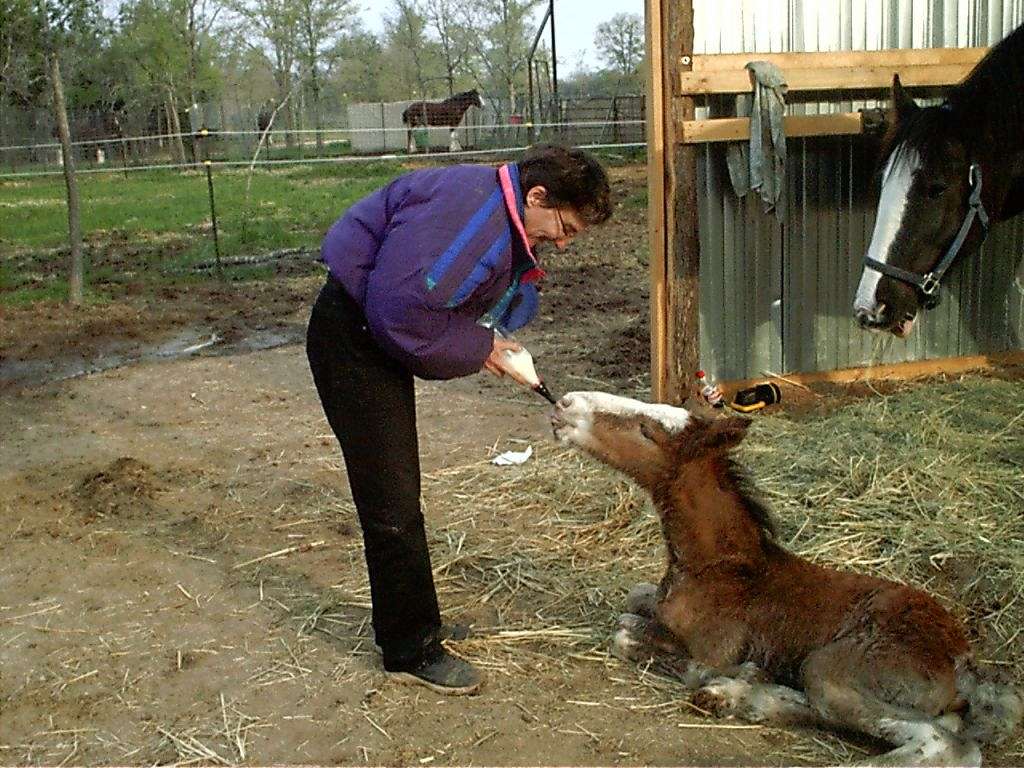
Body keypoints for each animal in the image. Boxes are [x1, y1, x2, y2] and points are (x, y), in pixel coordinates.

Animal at [552, 393, 1015, 765]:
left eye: (647, 430)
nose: (565, 404)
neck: (714, 565)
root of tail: (963, 663)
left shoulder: (711, 647)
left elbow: (628, 635)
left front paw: (719, 673)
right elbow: (634, 600)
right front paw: (741, 679)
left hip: (830, 668)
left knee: (950, 745)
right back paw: (737, 695)